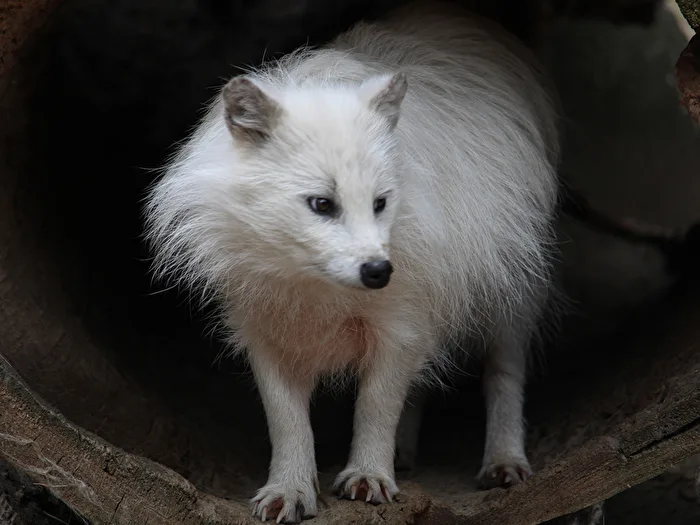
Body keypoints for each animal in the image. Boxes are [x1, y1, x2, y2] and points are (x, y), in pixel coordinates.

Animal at [144, 1, 560, 522]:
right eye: (322, 204)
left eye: (381, 203)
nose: (379, 272)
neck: (315, 287)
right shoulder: (264, 331)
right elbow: (287, 422)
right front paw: (289, 489)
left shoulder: (400, 325)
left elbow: (376, 406)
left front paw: (368, 477)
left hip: (515, 299)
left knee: (503, 374)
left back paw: (504, 462)